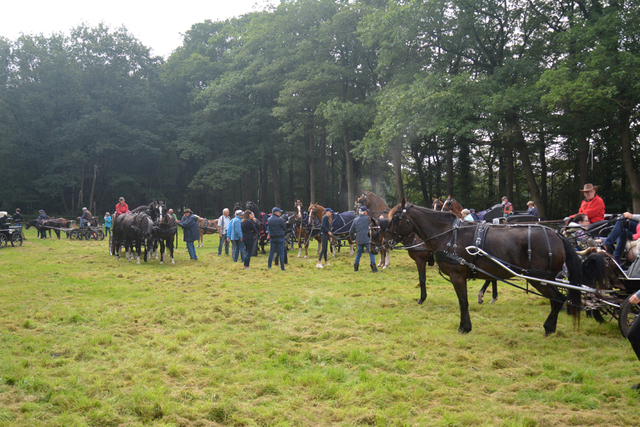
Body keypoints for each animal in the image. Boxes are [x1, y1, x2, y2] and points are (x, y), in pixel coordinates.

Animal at [384, 199, 604, 336]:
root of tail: (557, 234)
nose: (385, 241)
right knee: (557, 299)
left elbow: (462, 301)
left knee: (558, 299)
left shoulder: (457, 274)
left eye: (395, 218)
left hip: (539, 278)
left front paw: (465, 327)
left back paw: (549, 327)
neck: (448, 234)